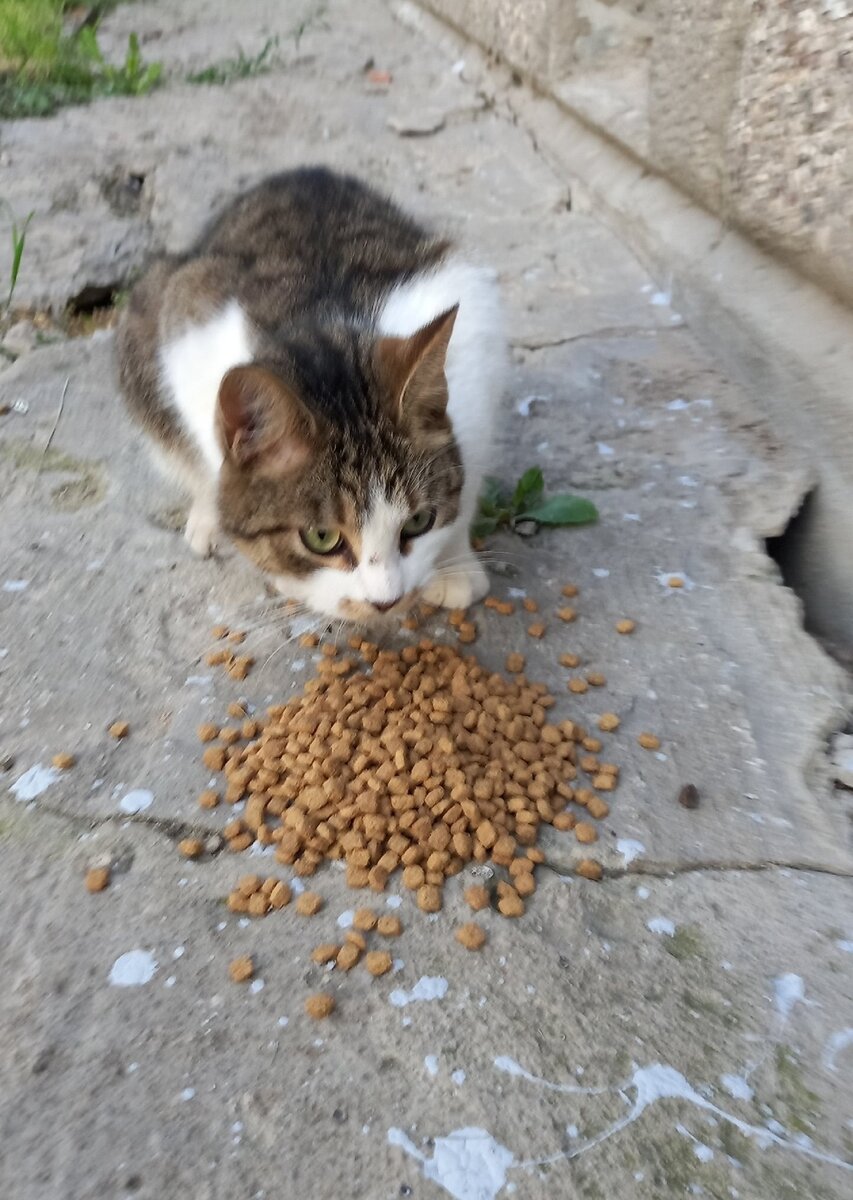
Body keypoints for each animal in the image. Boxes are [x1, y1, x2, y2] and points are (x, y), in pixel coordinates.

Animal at [116, 169, 503, 624]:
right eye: (322, 538)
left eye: (418, 522)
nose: (386, 602)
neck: (324, 334)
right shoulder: (188, 329)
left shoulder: (477, 358)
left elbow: (466, 487)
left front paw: (454, 566)